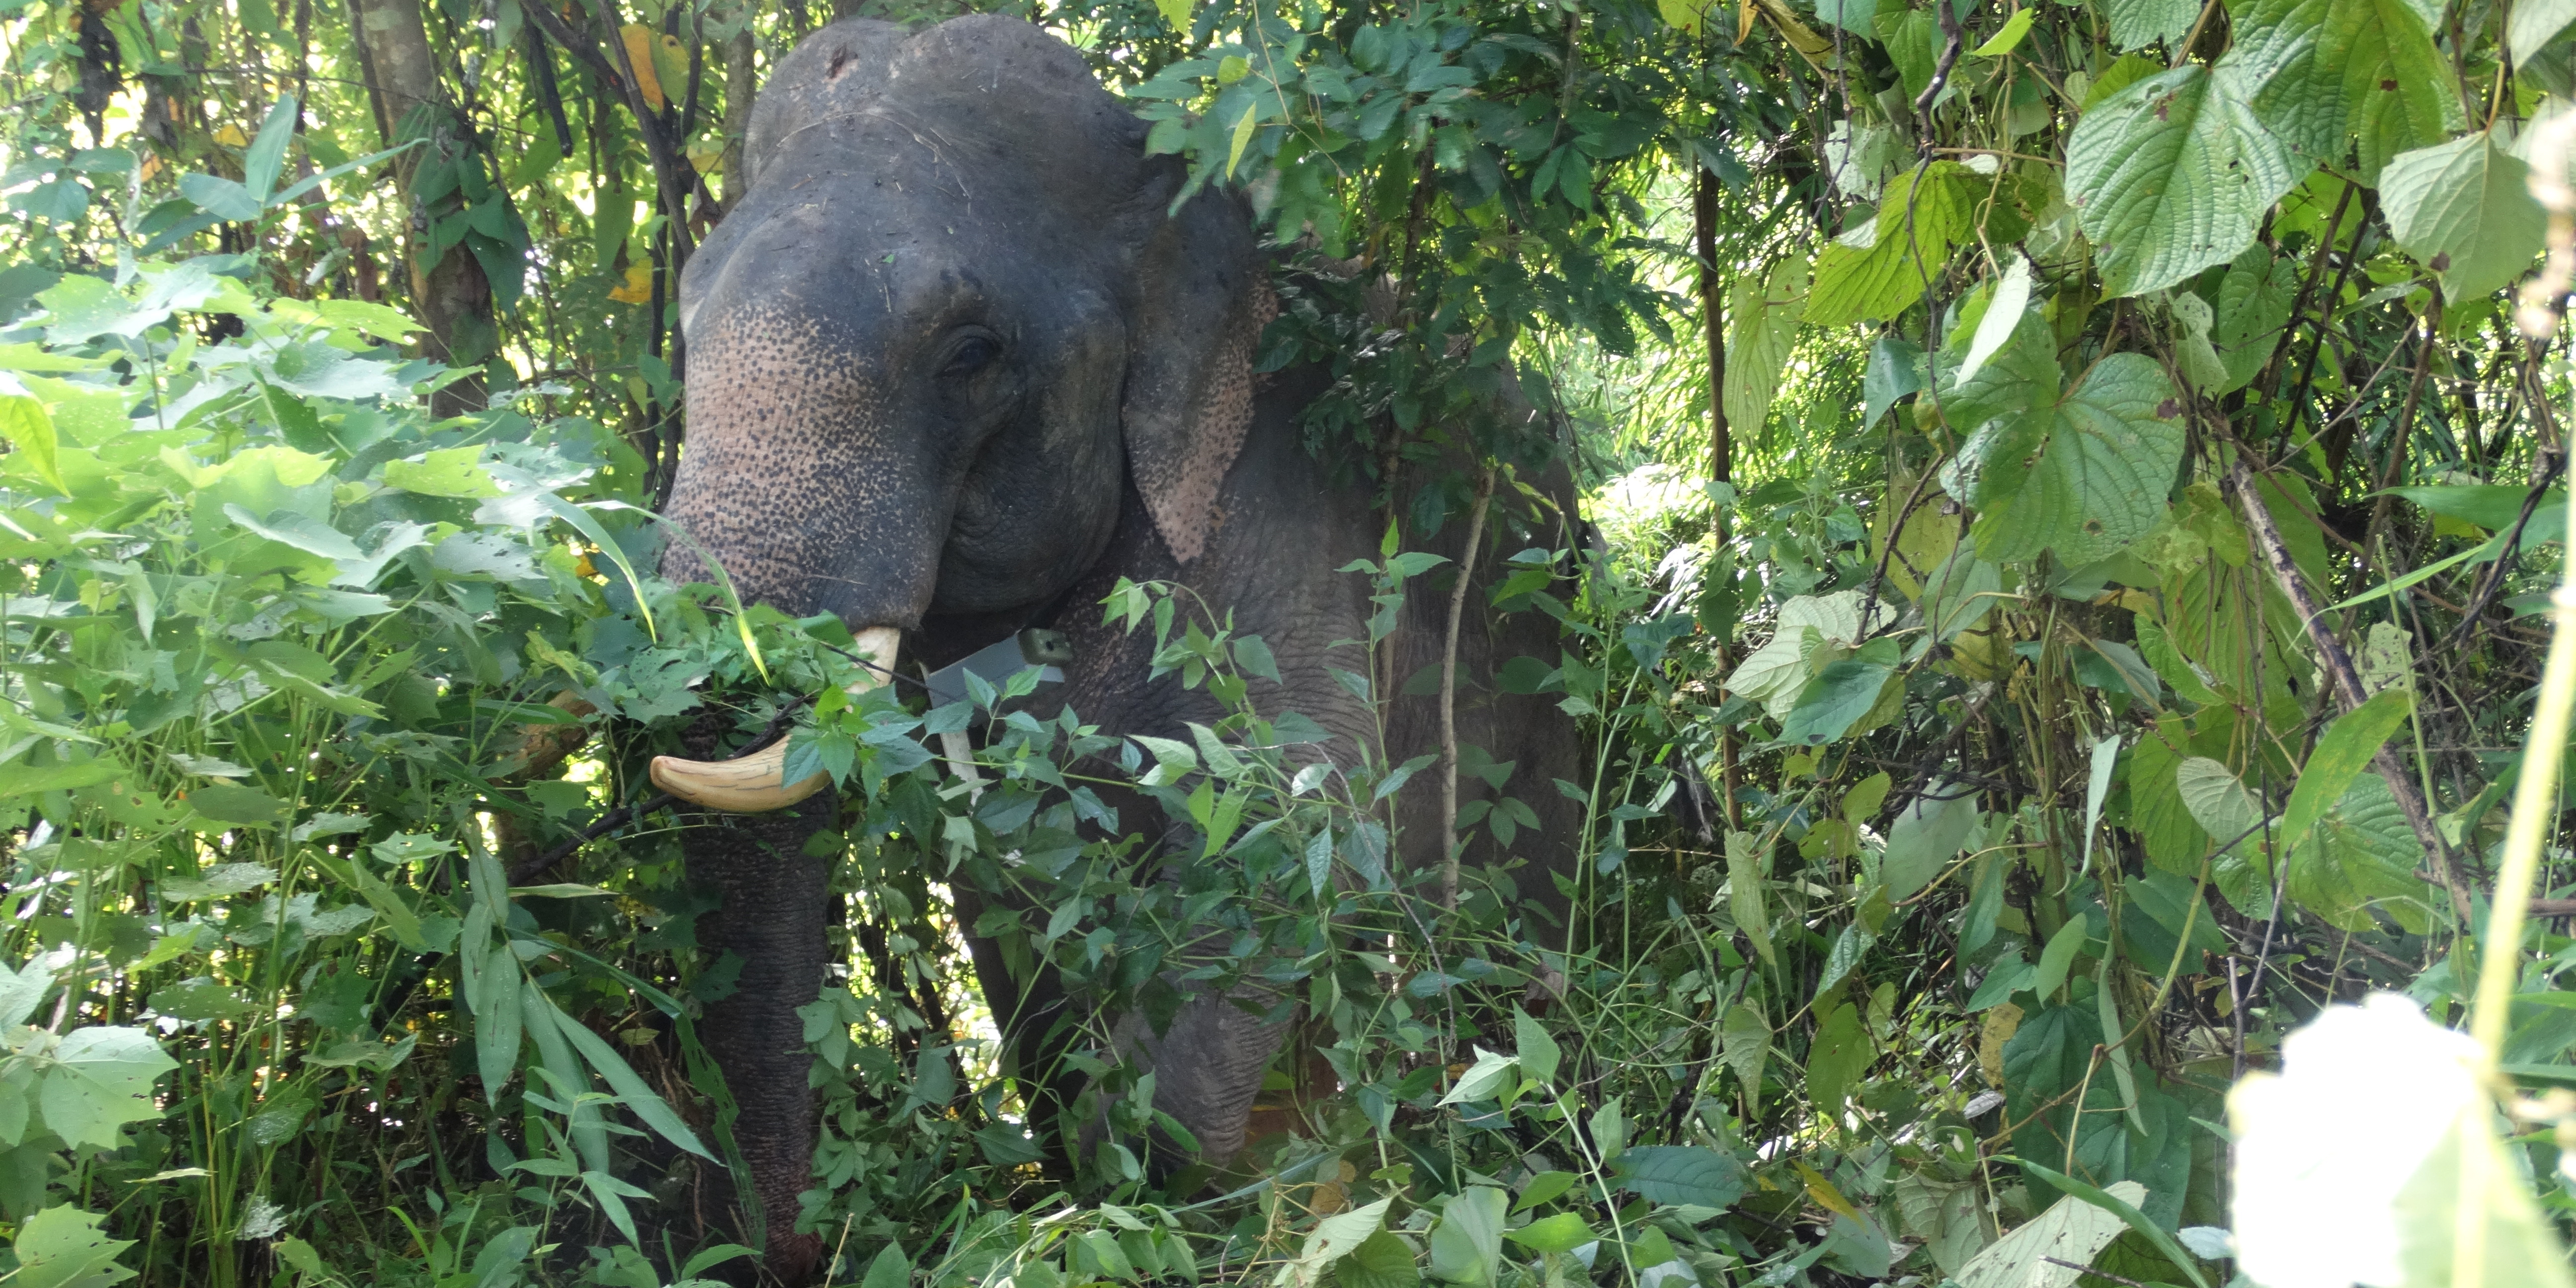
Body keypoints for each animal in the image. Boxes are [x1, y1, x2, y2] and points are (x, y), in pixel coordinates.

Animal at [644, 15, 1587, 1283]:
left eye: (970, 351)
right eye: (685, 319)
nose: (788, 1249)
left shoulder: (1281, 513)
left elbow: (1298, 809)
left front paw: (1171, 1197)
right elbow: (1003, 895)